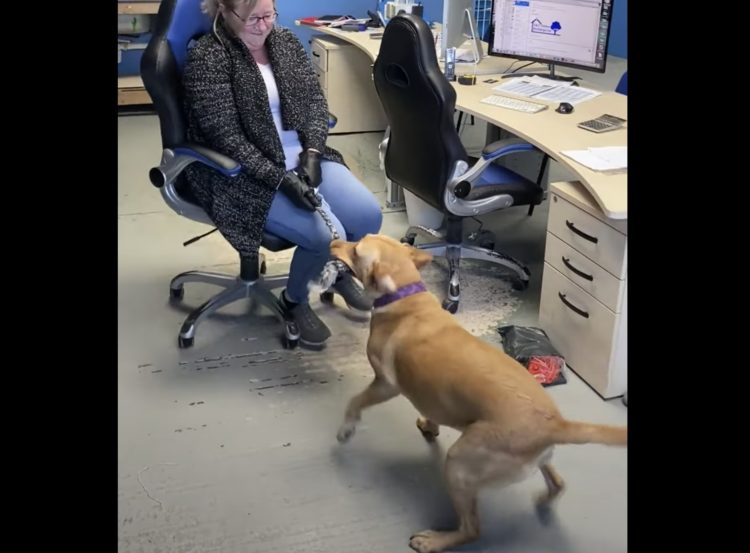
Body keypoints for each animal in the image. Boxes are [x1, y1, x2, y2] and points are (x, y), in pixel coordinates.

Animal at [330, 234, 627, 553]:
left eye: (356, 249)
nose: (333, 242)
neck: (404, 294)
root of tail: (556, 425)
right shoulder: (430, 395)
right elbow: (432, 410)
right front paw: (430, 426)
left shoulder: (385, 384)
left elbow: (355, 402)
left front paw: (346, 430)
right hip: (535, 460)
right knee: (558, 483)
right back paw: (545, 499)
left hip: (459, 464)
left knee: (472, 529)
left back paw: (435, 540)